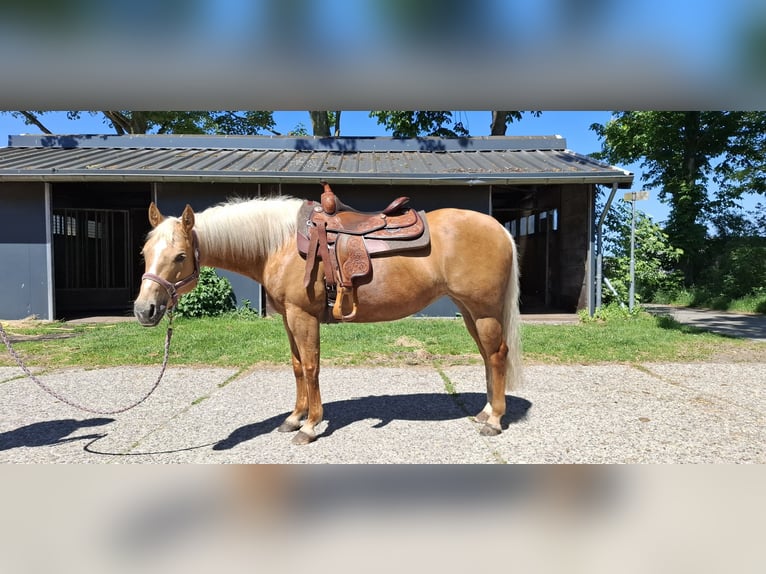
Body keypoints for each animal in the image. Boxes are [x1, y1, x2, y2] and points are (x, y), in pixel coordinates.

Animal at [134, 194, 522, 445]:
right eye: (145, 252)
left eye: (180, 256)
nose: (144, 310)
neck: (279, 244)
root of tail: (498, 228)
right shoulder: (288, 318)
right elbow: (295, 367)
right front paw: (293, 419)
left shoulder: (303, 315)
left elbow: (310, 367)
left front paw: (309, 426)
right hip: (470, 311)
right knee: (487, 356)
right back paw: (485, 412)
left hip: (483, 310)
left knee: (497, 355)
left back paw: (495, 420)